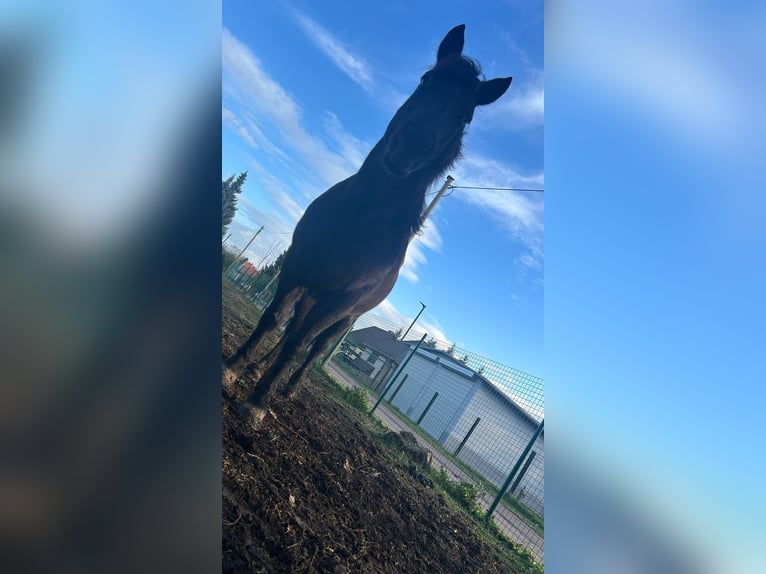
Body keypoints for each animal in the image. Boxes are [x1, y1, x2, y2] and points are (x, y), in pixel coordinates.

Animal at [222, 23, 512, 428]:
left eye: (466, 116)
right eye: (426, 80)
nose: (408, 149)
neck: (360, 219)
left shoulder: (341, 302)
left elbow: (298, 345)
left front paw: (258, 403)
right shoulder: (297, 266)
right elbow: (273, 319)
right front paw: (234, 367)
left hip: (344, 316)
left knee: (313, 346)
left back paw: (287, 386)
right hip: (312, 294)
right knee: (292, 329)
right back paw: (258, 366)